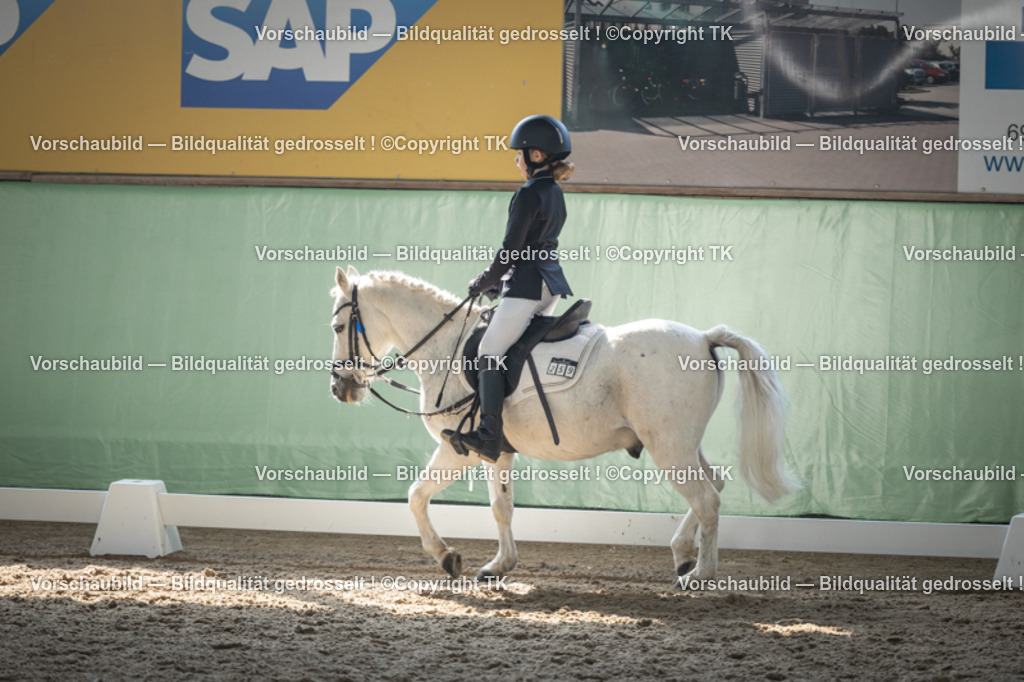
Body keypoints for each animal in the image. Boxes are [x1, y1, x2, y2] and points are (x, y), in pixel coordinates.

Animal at [328, 266, 798, 585]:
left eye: (337, 325)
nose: (339, 388)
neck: (445, 346)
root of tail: (703, 337)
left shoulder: (454, 448)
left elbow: (415, 496)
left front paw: (447, 558)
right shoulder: (496, 451)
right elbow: (501, 507)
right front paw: (499, 565)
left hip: (668, 446)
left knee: (707, 499)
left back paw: (700, 574)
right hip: (682, 444)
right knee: (714, 485)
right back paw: (684, 554)